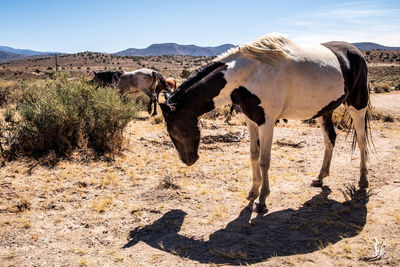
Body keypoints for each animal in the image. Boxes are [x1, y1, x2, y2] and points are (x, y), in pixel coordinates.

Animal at [160, 34, 372, 214]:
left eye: (175, 130)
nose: (188, 160)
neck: (248, 75)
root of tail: (355, 52)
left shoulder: (267, 122)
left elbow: (264, 160)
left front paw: (262, 200)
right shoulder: (251, 120)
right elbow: (253, 155)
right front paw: (253, 192)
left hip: (357, 106)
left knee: (362, 141)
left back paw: (363, 179)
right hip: (324, 111)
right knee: (330, 140)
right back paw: (320, 177)